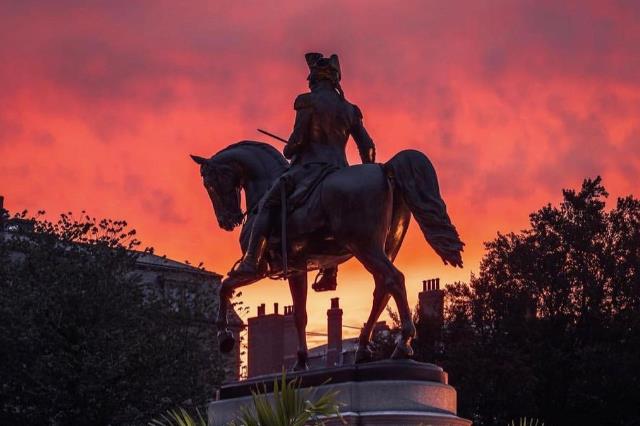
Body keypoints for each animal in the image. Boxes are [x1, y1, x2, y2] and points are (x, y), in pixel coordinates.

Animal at [188, 141, 462, 372]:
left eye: (209, 184)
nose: (227, 221)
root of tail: (384, 169)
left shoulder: (259, 269)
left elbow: (224, 286)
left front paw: (224, 336)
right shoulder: (297, 268)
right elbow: (299, 314)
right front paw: (301, 362)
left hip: (363, 245)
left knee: (394, 279)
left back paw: (403, 344)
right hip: (386, 245)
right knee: (383, 288)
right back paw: (365, 349)